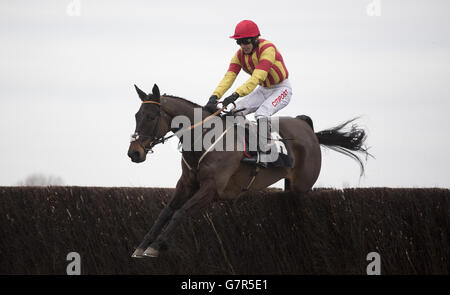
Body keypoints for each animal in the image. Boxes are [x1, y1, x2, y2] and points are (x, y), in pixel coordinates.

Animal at [126, 84, 370, 260]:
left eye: (151, 117)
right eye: (137, 115)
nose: (134, 153)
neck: (203, 139)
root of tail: (309, 130)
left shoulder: (211, 189)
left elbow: (180, 212)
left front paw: (157, 246)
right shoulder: (186, 184)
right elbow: (165, 212)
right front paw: (142, 246)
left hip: (303, 187)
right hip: (290, 187)